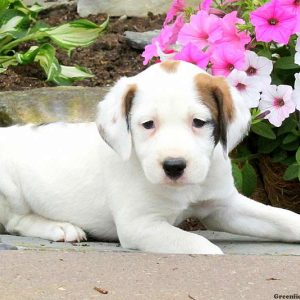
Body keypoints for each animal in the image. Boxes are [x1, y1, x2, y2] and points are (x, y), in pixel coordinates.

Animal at [0, 61, 300, 253]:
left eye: (199, 122)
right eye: (148, 124)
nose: (174, 166)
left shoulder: (224, 206)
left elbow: (282, 218)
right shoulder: (140, 224)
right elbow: (203, 247)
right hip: (10, 189)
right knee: (16, 222)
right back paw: (61, 228)